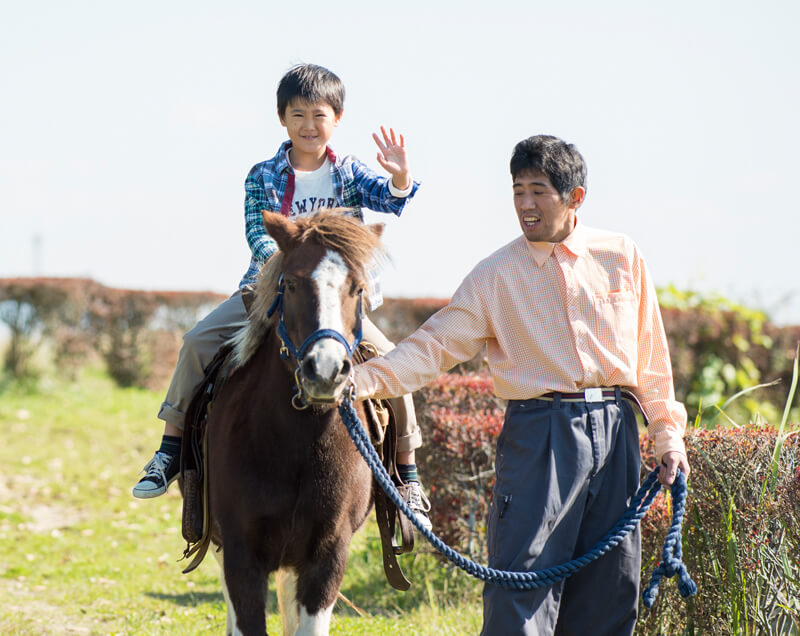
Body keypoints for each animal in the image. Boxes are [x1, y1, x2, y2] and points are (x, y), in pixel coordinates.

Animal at [203, 211, 384, 632]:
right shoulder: (240, 553)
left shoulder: (328, 555)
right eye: (291, 283)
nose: (326, 370)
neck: (299, 443)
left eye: (358, 288)